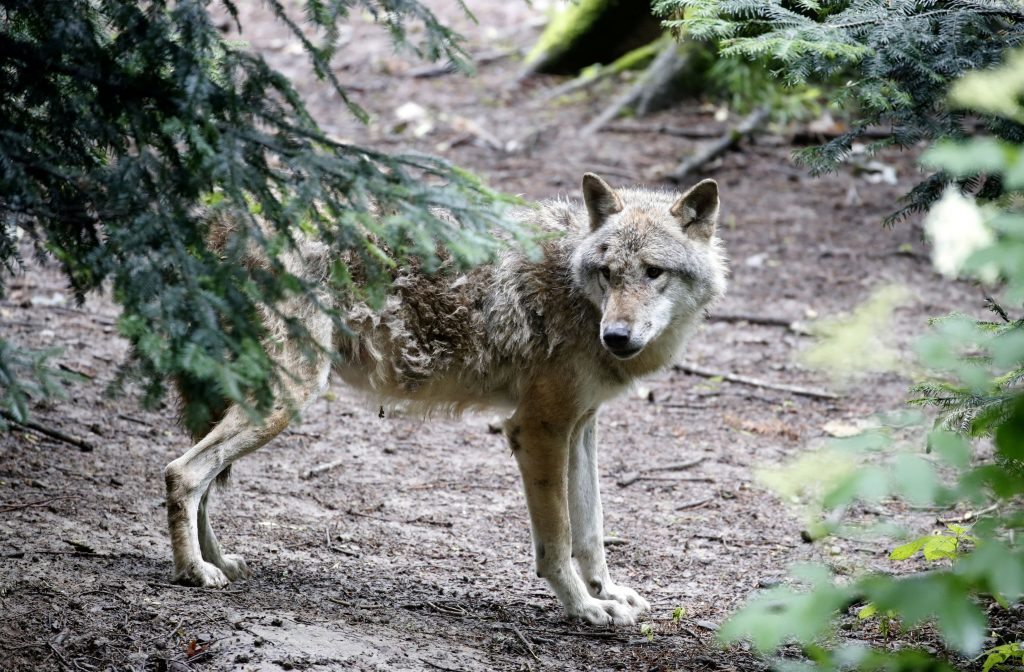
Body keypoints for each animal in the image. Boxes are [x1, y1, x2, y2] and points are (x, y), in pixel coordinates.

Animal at [163, 173, 727, 626]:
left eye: (653, 272)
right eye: (608, 273)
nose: (617, 336)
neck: (575, 291)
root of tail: (216, 222)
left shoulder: (581, 425)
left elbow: (592, 531)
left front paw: (606, 593)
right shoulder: (537, 428)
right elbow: (559, 540)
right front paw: (584, 608)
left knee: (202, 478)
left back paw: (219, 561)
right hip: (285, 399)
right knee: (182, 473)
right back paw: (194, 572)